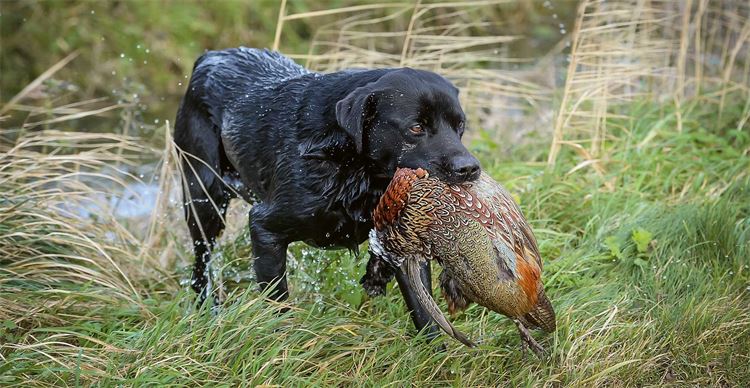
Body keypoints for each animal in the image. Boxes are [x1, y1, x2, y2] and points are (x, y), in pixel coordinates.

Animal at [175, 47, 482, 336]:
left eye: (460, 126)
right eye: (416, 127)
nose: (469, 169)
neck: (353, 168)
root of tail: (210, 57)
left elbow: (425, 310)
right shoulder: (264, 227)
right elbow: (277, 301)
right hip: (204, 200)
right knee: (201, 264)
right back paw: (207, 310)